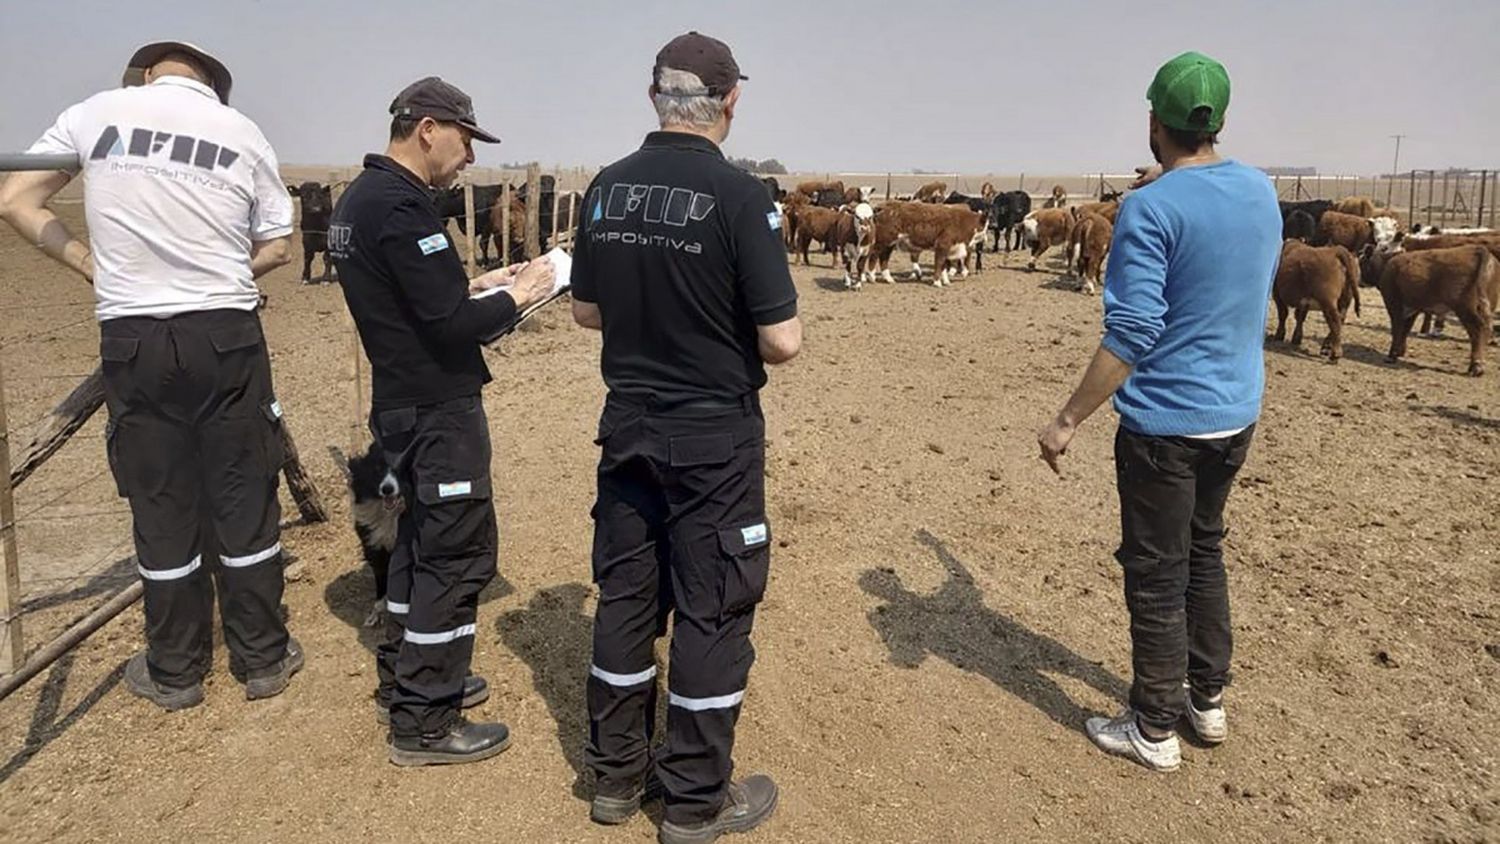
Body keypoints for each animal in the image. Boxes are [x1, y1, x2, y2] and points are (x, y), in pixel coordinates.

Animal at [1374, 244, 1500, 376]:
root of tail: (1480, 250)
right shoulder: (1412, 309)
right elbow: (1405, 330)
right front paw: (1399, 352)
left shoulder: (1393, 304)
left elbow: (1397, 329)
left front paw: (1391, 355)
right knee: (1486, 329)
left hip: (1466, 310)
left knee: (1478, 331)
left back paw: (1476, 366)